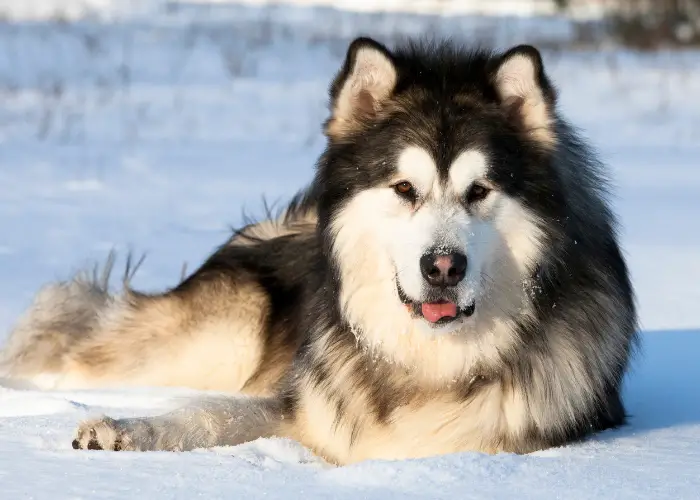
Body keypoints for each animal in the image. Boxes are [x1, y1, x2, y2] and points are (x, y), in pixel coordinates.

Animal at [0, 38, 640, 464]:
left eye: (479, 191)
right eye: (404, 189)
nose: (442, 267)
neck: (426, 360)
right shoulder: (299, 401)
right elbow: (208, 413)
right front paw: (124, 430)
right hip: (222, 332)